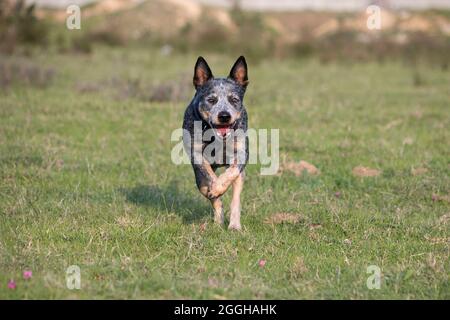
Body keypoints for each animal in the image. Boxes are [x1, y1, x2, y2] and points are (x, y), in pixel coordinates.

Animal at [182, 55, 250, 230]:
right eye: (211, 100)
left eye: (234, 99)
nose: (224, 116)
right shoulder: (196, 153)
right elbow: (208, 176)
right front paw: (214, 189)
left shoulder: (241, 153)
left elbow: (231, 173)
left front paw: (218, 187)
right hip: (198, 179)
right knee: (208, 191)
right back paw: (218, 220)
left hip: (241, 177)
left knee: (235, 196)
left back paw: (234, 225)